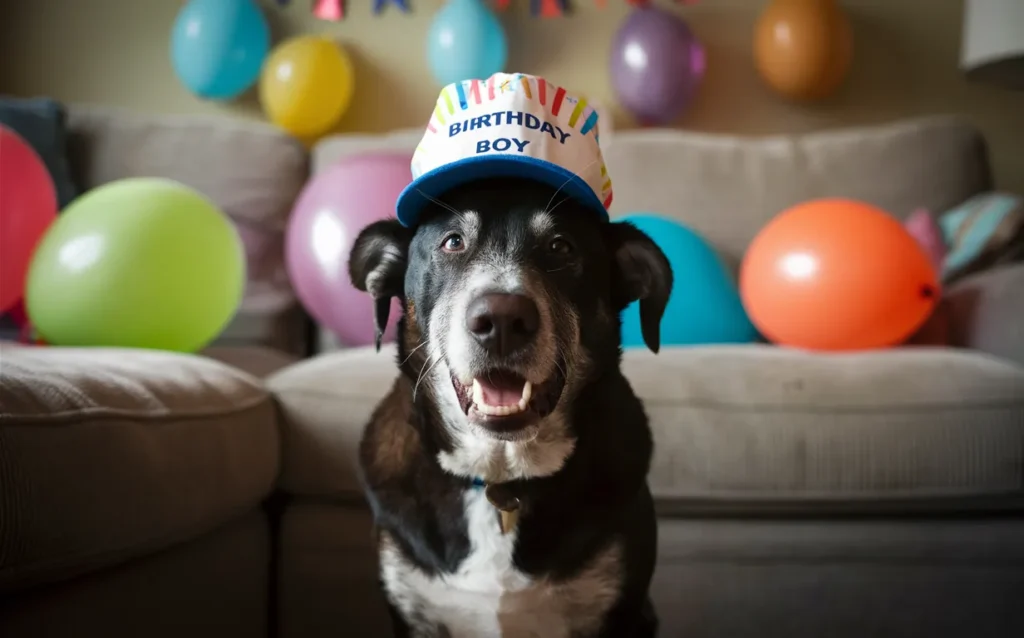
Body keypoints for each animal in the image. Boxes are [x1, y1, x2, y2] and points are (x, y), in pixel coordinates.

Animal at [348, 175, 675, 638]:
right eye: (453, 242)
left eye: (561, 246)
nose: (501, 320)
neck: (501, 475)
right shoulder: (412, 611)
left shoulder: (621, 609)